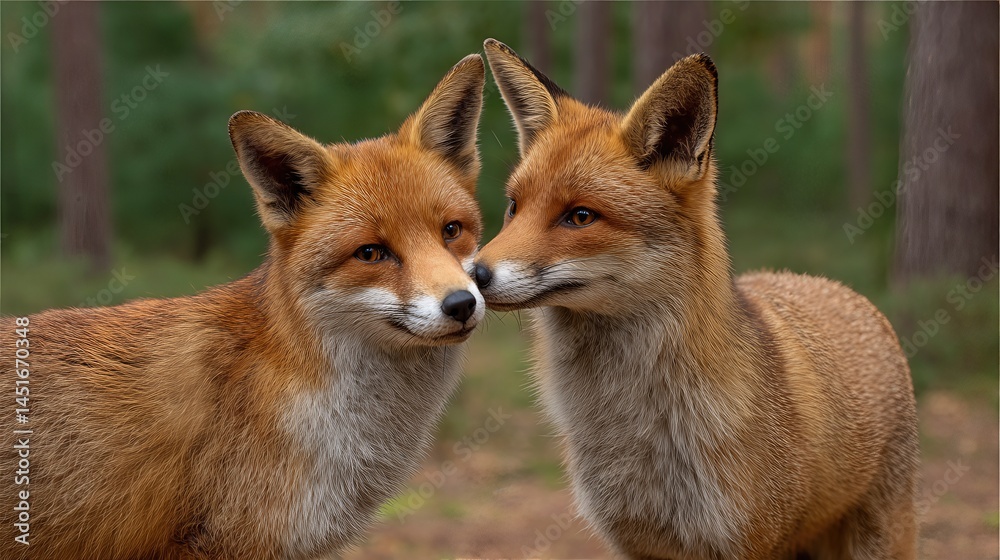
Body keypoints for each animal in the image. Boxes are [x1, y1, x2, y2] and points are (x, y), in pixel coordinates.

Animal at [474, 39, 919, 560]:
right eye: (513, 207)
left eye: (580, 216)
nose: (473, 276)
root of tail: (840, 289)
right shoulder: (634, 543)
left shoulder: (745, 542)